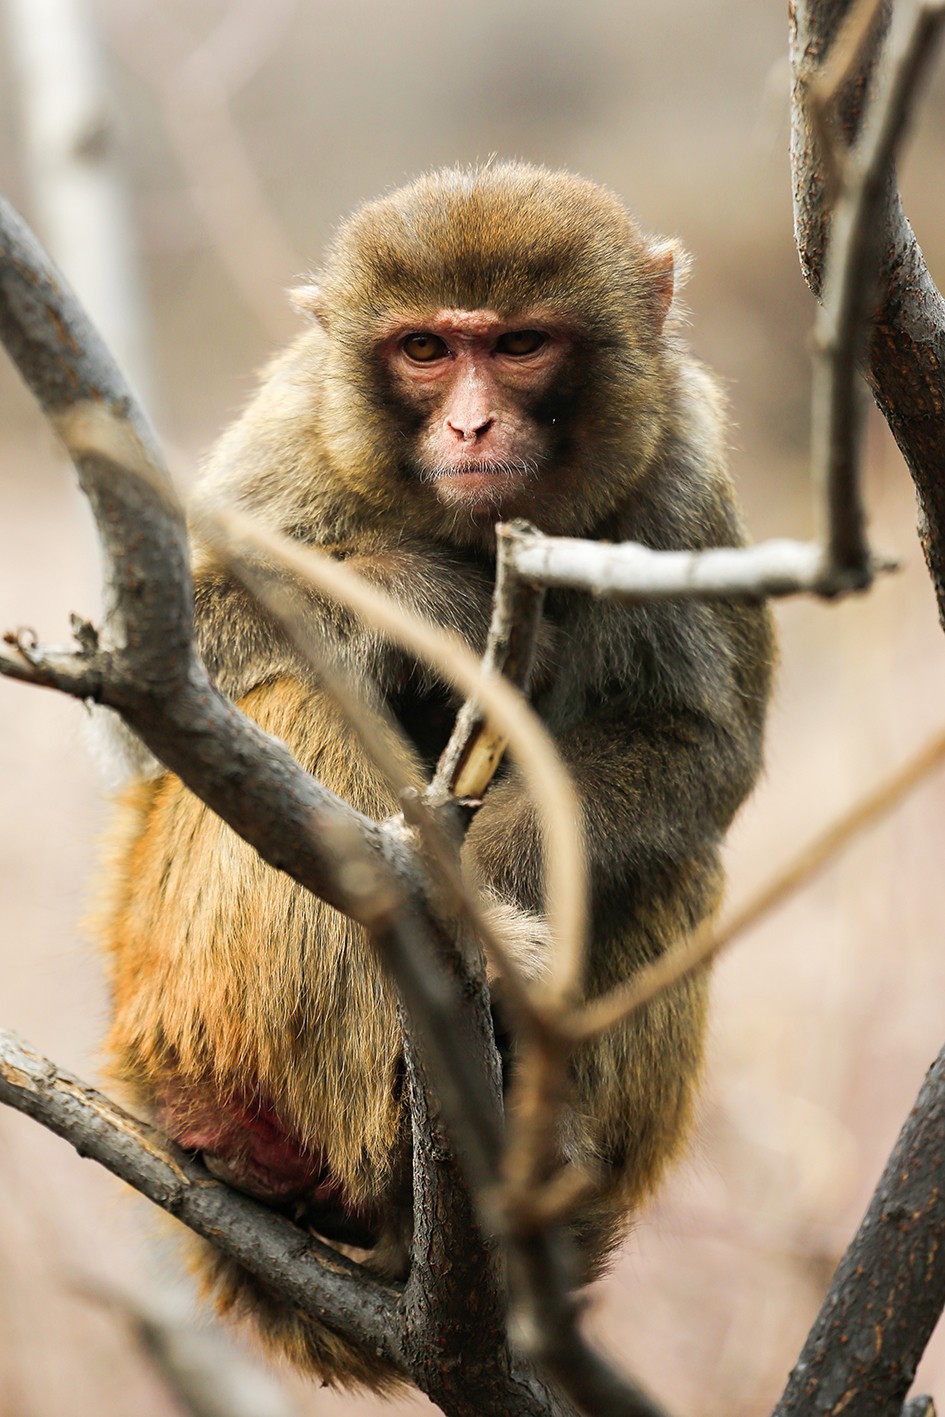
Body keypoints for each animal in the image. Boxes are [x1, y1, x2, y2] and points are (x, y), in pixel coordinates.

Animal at [94, 162, 776, 1382]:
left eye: (517, 344)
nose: (469, 421)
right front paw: (421, 598)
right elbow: (161, 658)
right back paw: (253, 1135)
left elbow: (696, 742)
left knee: (678, 858)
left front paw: (490, 892)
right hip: (168, 990)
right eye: (423, 348)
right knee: (297, 703)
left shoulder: (679, 470)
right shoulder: (297, 431)